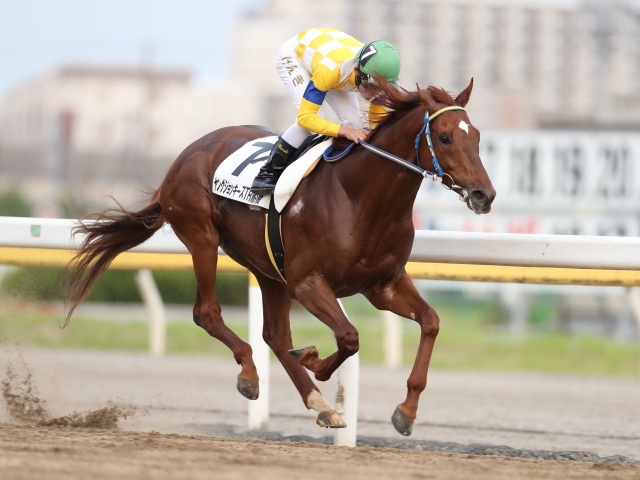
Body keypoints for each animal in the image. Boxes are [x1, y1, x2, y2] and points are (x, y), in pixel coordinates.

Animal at [65, 79, 496, 436]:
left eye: (476, 136)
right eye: (444, 137)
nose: (484, 195)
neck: (360, 197)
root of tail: (188, 152)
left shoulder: (383, 285)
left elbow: (431, 322)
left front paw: (405, 411)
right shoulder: (308, 282)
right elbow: (349, 337)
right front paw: (313, 359)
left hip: (269, 269)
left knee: (273, 333)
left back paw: (320, 405)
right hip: (202, 237)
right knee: (207, 313)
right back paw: (252, 374)